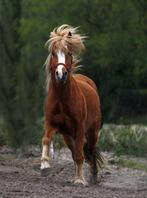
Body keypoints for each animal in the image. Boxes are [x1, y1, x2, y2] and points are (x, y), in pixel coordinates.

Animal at [40, 25, 103, 186]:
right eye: (53, 53)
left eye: (68, 53)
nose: (60, 74)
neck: (62, 98)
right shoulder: (51, 124)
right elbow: (46, 139)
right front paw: (44, 166)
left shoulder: (80, 128)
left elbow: (81, 155)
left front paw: (80, 180)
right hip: (67, 137)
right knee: (76, 153)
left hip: (92, 132)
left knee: (91, 151)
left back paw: (93, 177)